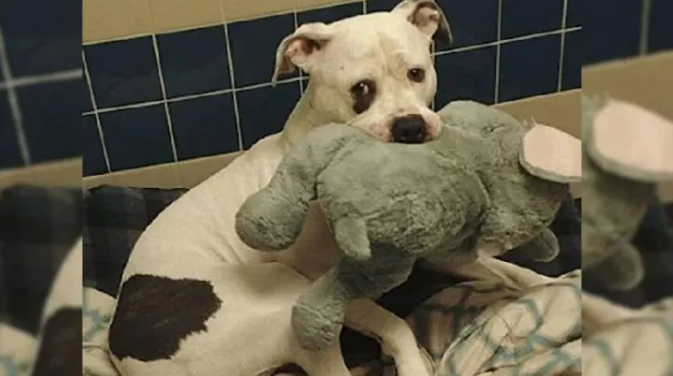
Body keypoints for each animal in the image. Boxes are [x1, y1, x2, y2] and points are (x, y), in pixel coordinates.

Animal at [109, 1, 452, 374]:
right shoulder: (327, 286)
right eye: (361, 88)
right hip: (289, 299)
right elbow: (394, 324)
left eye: (416, 73)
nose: (410, 127)